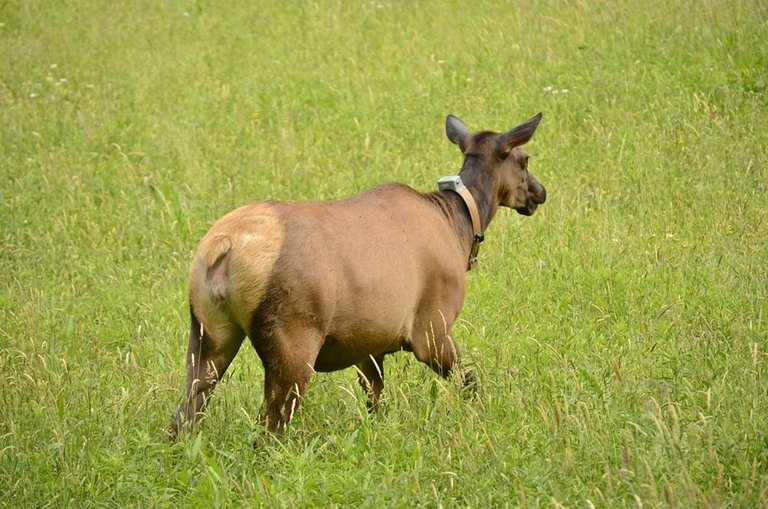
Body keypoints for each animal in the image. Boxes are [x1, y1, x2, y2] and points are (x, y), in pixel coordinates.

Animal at [172, 112, 548, 436]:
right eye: (524, 159)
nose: (539, 192)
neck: (461, 226)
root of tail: (221, 248)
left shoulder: (369, 343)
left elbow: (375, 398)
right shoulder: (432, 328)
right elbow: (470, 380)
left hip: (209, 331)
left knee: (184, 416)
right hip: (292, 338)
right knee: (269, 430)